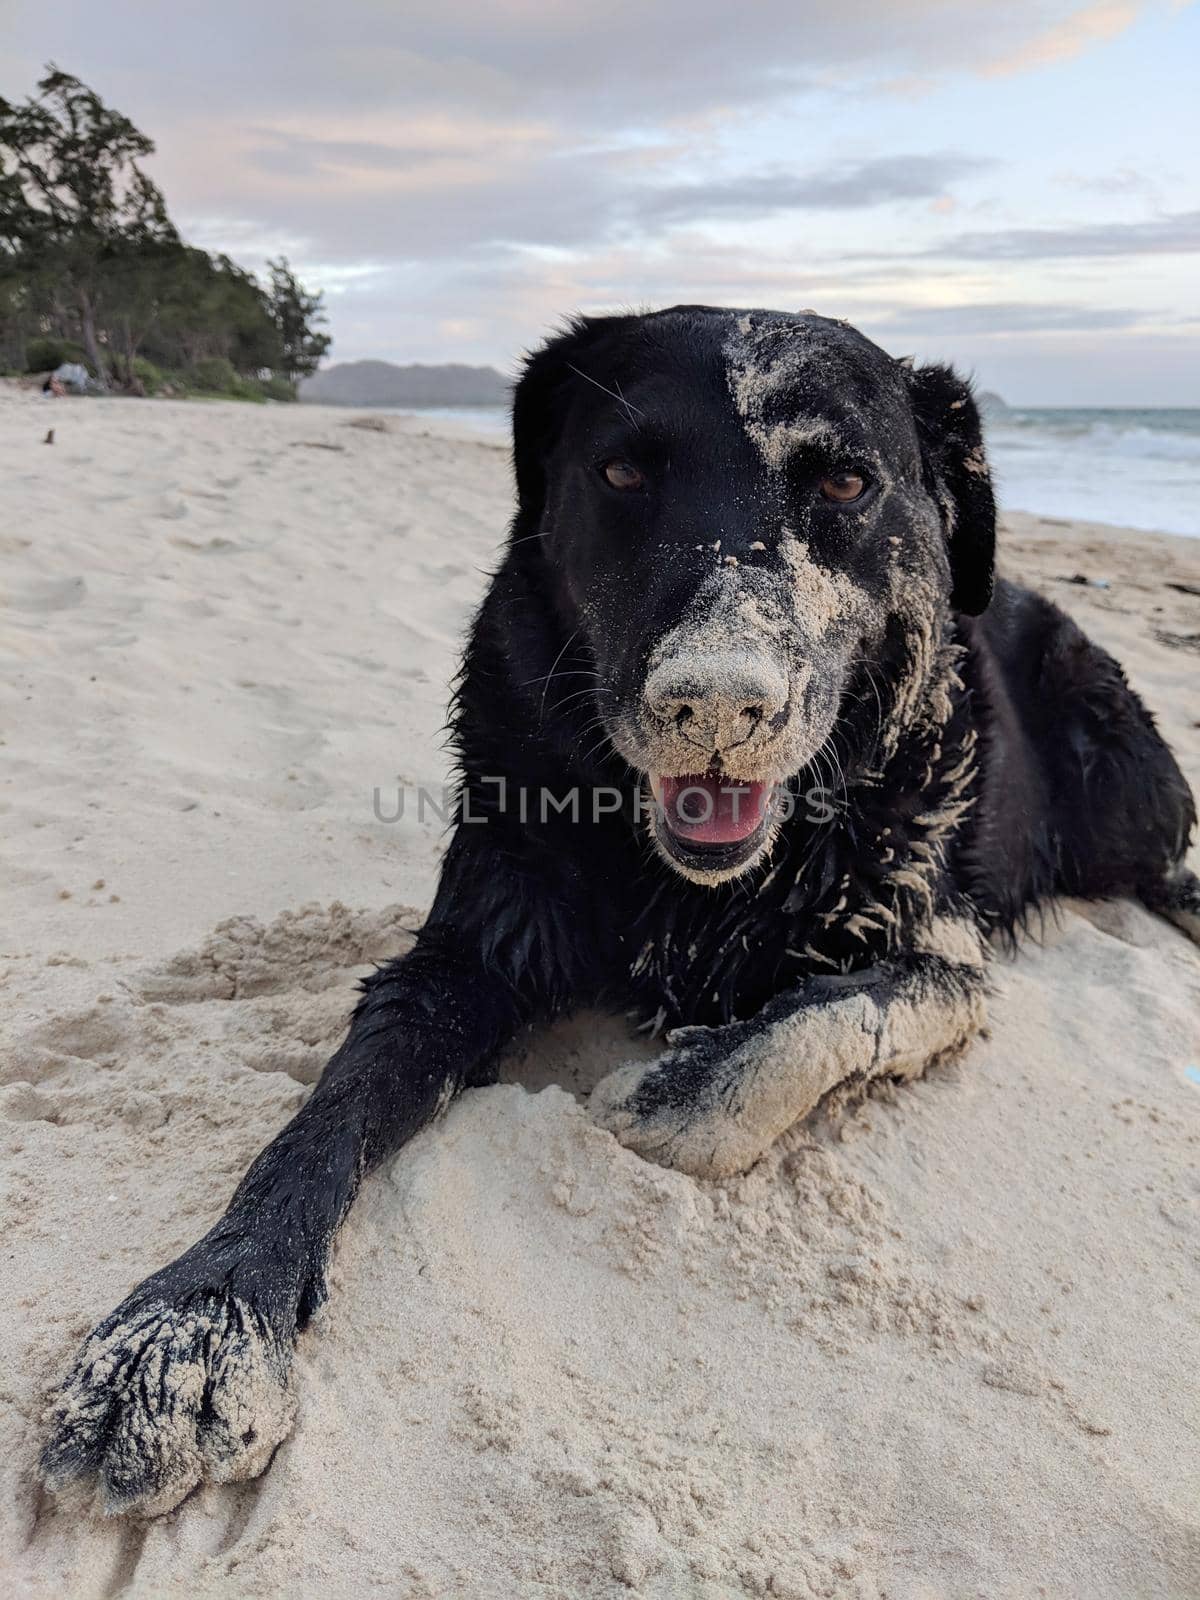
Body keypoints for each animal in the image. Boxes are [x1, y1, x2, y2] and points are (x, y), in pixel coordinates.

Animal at [42, 302, 1196, 1510]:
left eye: (845, 483)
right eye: (622, 471)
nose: (717, 704)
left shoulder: (942, 946)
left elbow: (835, 1014)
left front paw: (675, 1093)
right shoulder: (467, 948)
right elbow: (329, 1111)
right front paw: (192, 1325)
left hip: (1126, 787)